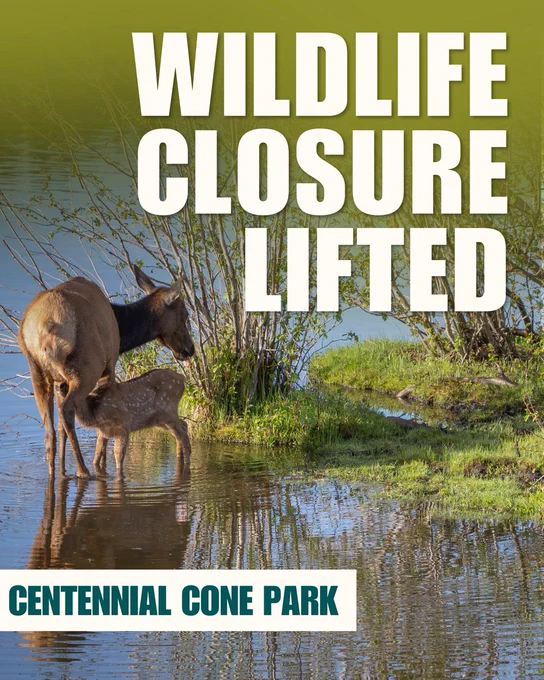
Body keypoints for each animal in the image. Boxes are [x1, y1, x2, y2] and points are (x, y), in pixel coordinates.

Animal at [18, 266, 195, 478]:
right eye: (185, 315)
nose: (190, 349)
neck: (122, 329)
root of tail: (44, 326)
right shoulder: (109, 364)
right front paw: (100, 463)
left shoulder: (60, 380)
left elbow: (61, 429)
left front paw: (64, 467)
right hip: (86, 368)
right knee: (67, 410)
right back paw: (83, 470)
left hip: (37, 371)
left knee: (50, 427)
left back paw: (55, 471)